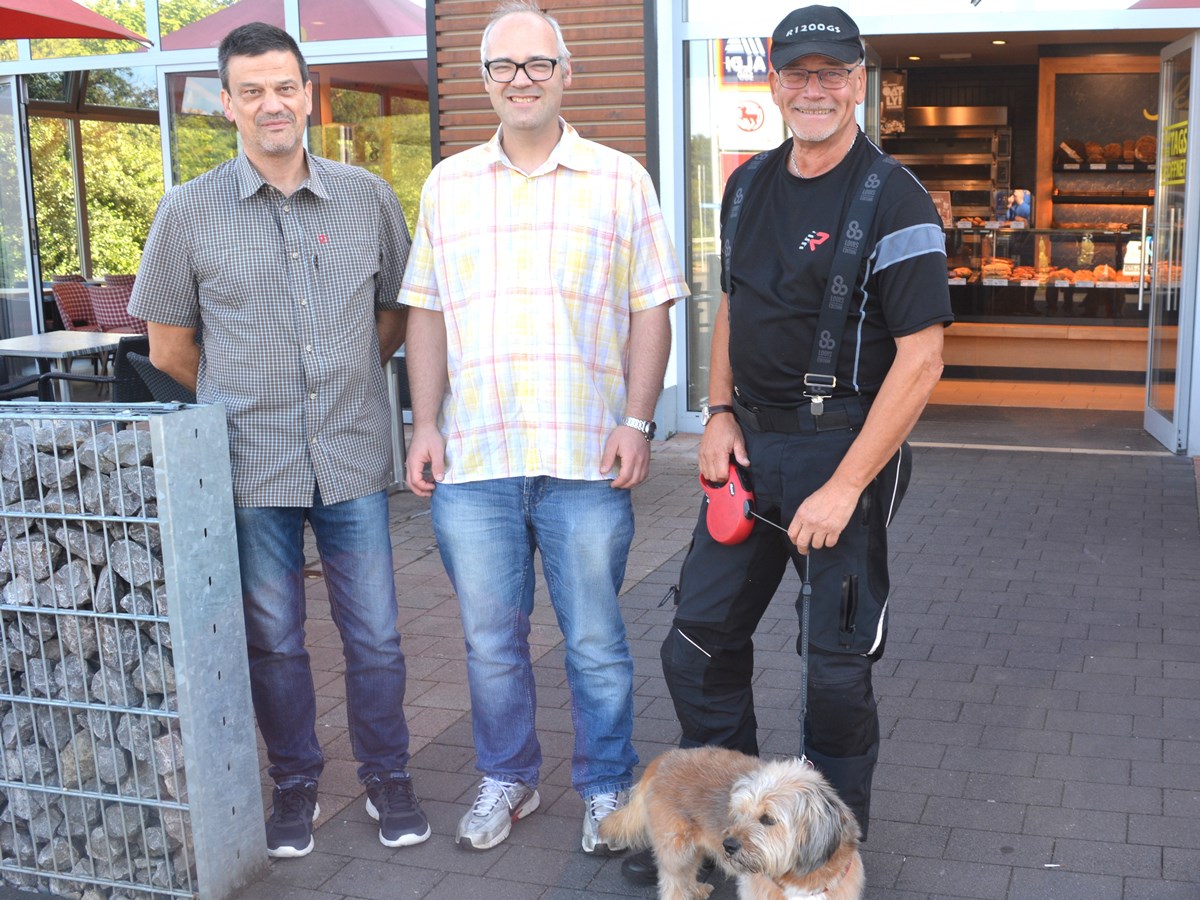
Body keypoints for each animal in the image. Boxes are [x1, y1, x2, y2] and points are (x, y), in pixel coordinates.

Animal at [600, 748, 864, 900]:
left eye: (767, 819)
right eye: (739, 813)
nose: (728, 845)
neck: (801, 877)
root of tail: (666, 756)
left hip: (694, 845)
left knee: (688, 873)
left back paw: (694, 889)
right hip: (676, 848)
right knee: (672, 883)